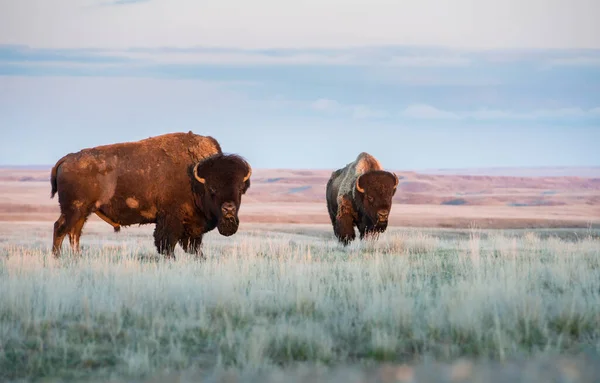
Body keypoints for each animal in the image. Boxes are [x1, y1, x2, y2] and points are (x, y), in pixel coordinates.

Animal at [48, 130, 251, 260]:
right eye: (212, 189)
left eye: (240, 189)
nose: (228, 209)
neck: (196, 179)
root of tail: (67, 158)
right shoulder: (170, 220)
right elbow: (166, 244)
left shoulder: (191, 228)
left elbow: (193, 247)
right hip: (73, 209)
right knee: (60, 228)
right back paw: (57, 258)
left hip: (83, 212)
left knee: (74, 233)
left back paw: (77, 258)